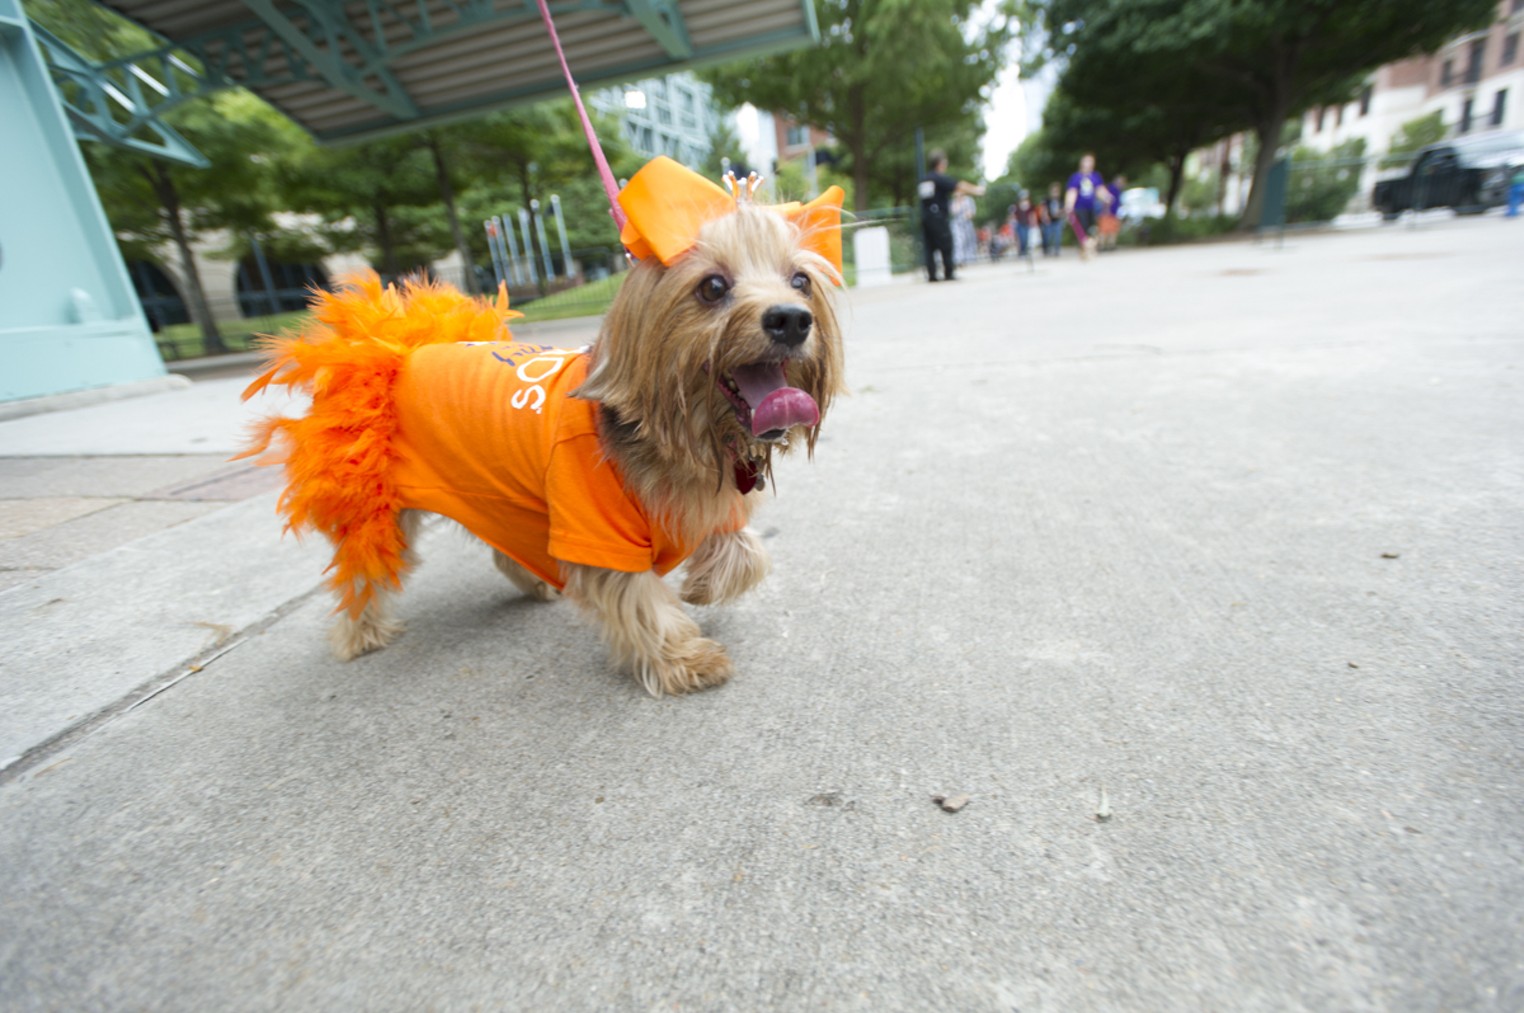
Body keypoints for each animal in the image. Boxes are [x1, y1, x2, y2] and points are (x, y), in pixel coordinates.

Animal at [243, 158, 853, 694]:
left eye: (800, 281)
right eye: (712, 287)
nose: (791, 320)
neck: (683, 428)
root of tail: (398, 352)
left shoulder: (711, 501)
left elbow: (746, 554)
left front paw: (703, 585)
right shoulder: (595, 533)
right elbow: (641, 602)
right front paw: (685, 658)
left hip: (497, 492)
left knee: (498, 549)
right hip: (381, 510)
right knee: (363, 572)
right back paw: (360, 632)